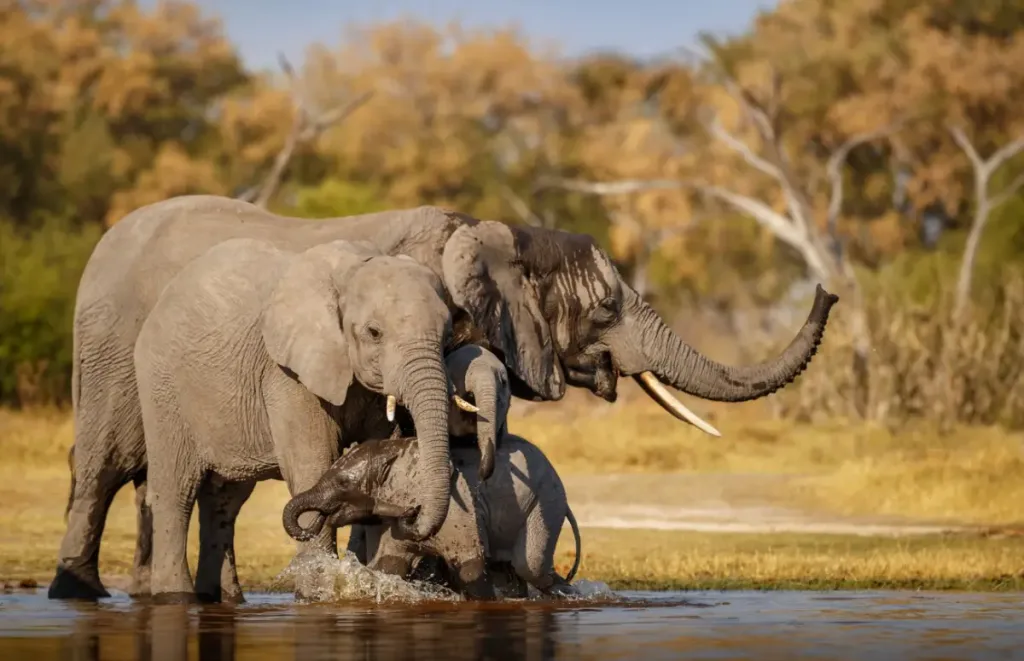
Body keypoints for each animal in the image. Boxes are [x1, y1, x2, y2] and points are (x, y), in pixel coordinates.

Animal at [131, 238, 464, 605]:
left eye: (448, 335)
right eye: (374, 333)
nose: (412, 513)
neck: (351, 271)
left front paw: (370, 586)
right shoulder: (286, 375)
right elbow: (311, 463)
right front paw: (320, 595)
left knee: (223, 501)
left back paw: (226, 599)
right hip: (163, 387)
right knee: (176, 491)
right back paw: (176, 598)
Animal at [284, 347, 581, 601]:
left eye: (343, 483)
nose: (317, 519)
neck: (396, 452)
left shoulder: (458, 512)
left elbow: (472, 568)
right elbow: (390, 566)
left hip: (546, 501)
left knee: (529, 566)